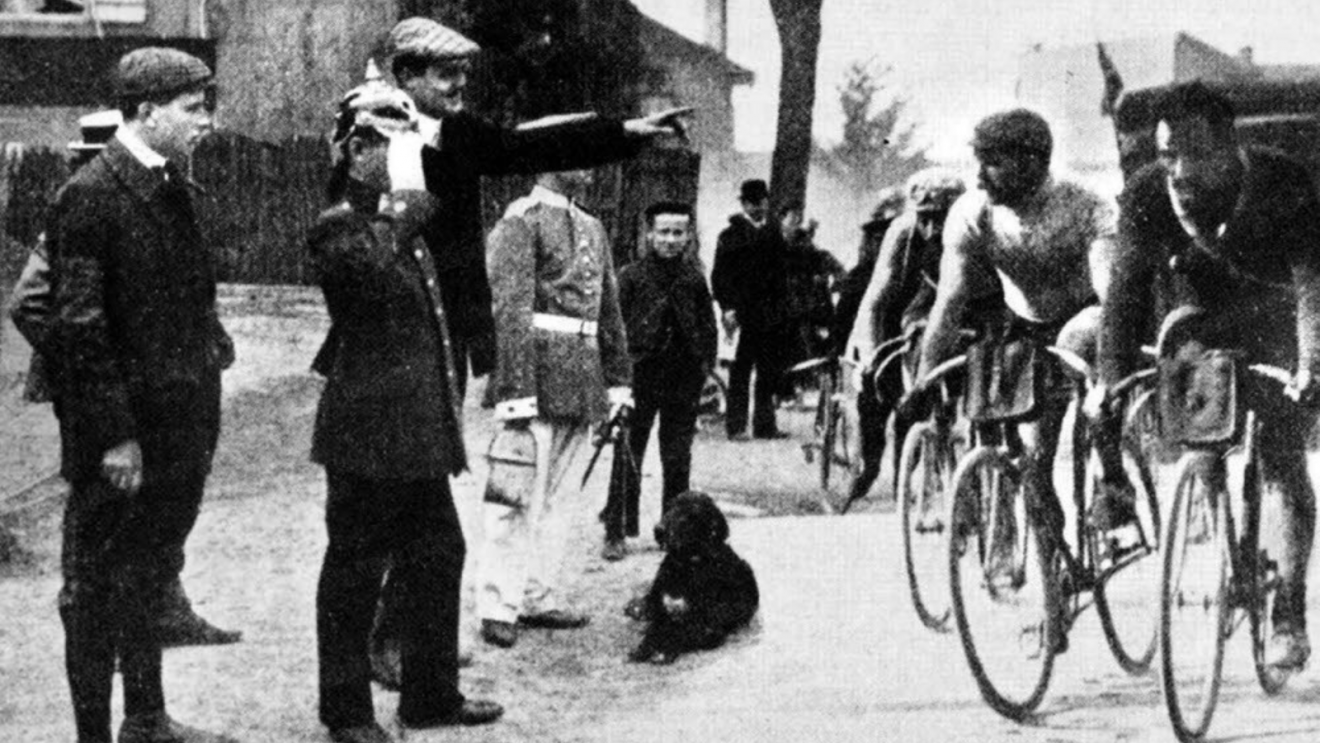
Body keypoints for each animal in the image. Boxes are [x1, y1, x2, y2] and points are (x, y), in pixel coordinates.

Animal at [623, 490, 760, 665]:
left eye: (691, 513)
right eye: (669, 507)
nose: (658, 530)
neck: (686, 567)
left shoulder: (709, 626)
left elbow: (682, 631)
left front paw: (663, 650)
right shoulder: (663, 612)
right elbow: (654, 629)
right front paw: (644, 647)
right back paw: (637, 608)